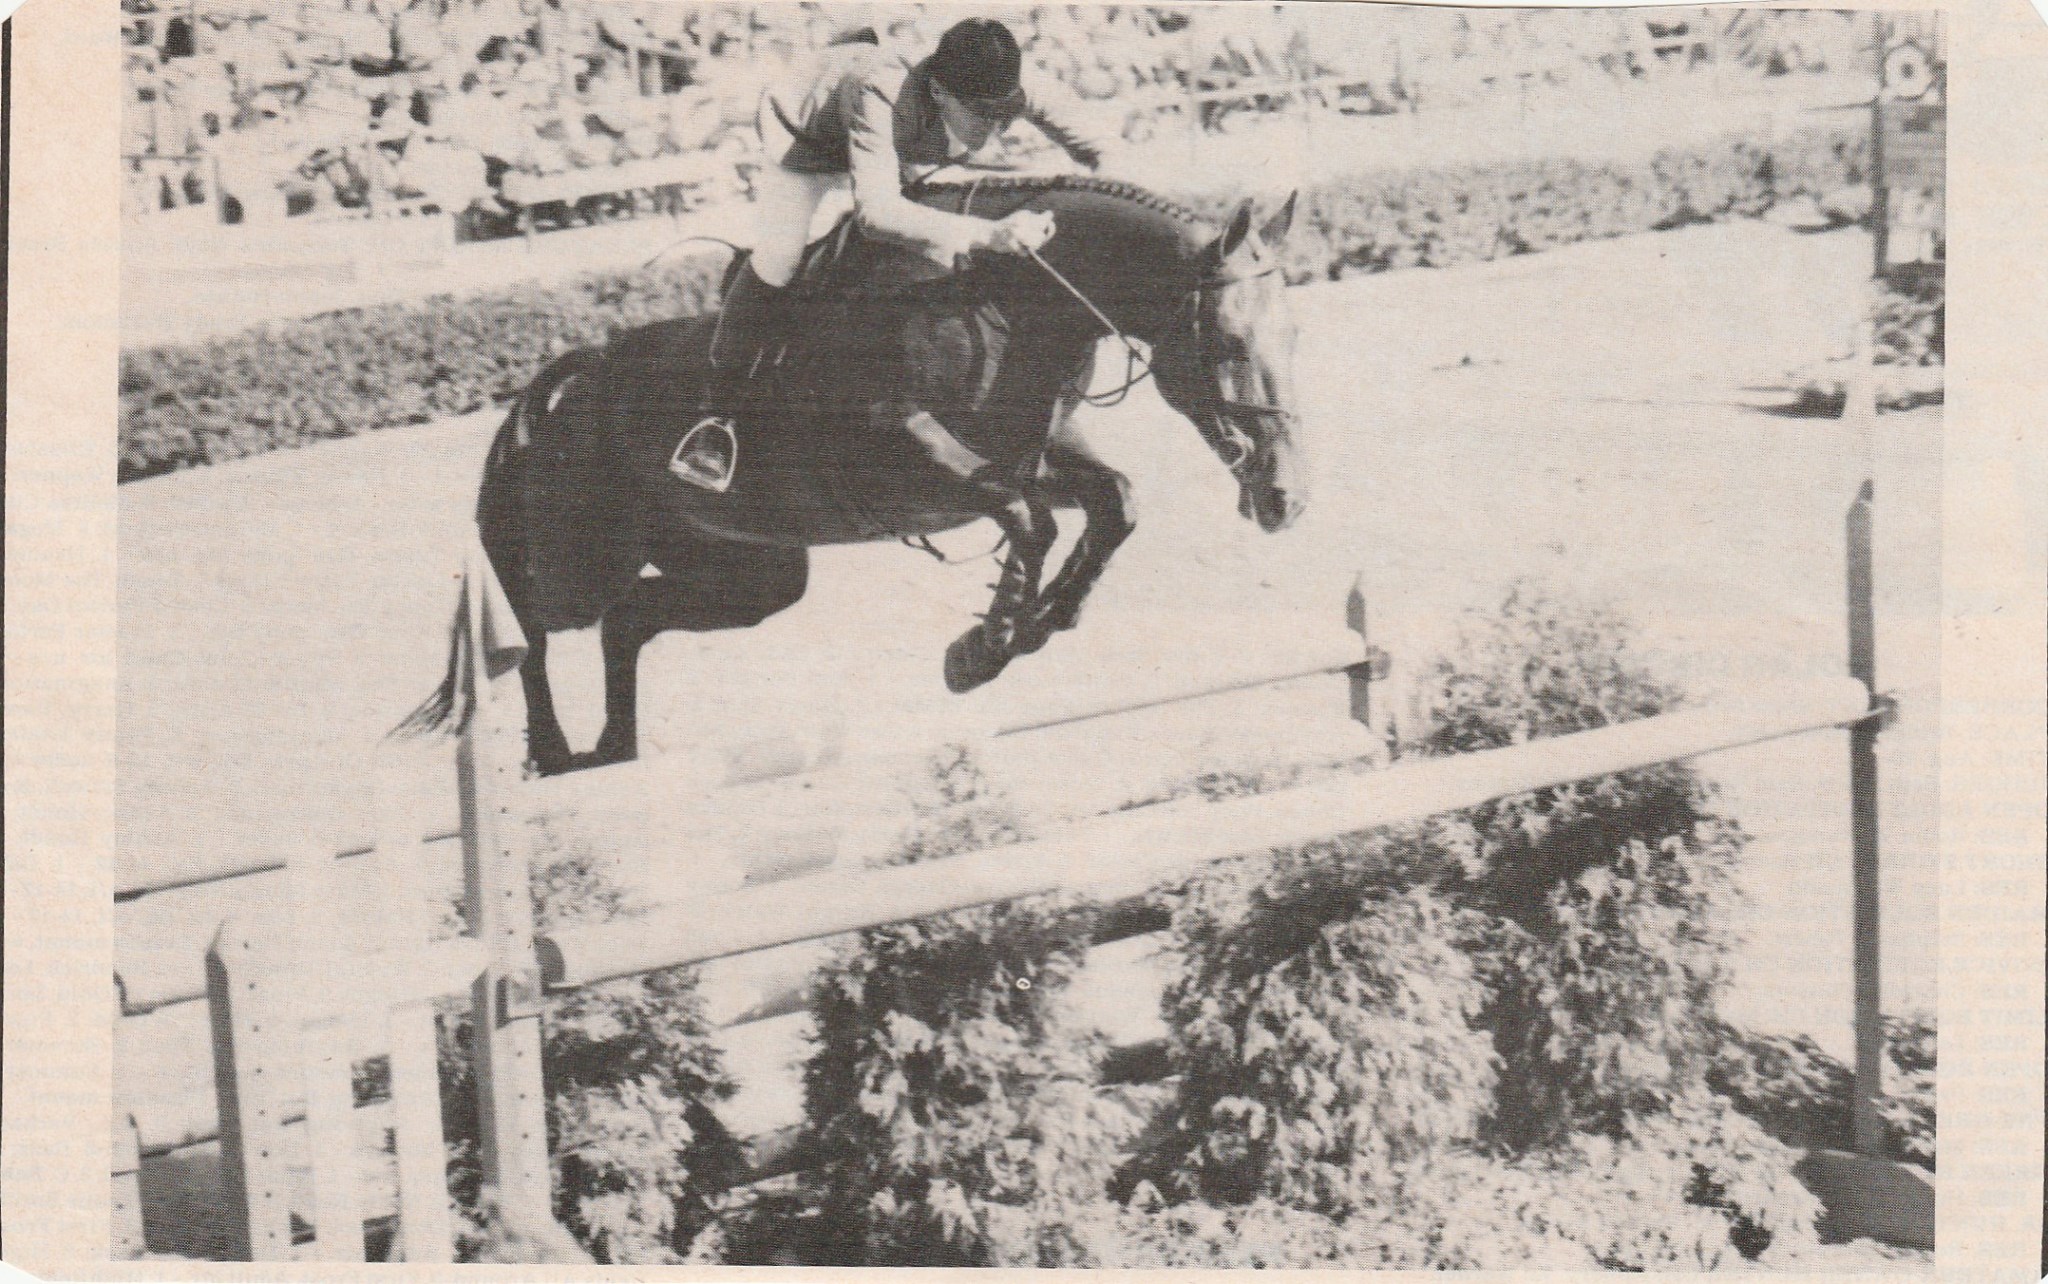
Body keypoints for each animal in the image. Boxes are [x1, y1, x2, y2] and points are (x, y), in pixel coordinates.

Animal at [395, 169, 1310, 774]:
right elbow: (1028, 518)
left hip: (750, 573)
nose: (1285, 500)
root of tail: (563, 383)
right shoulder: (905, 454)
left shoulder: (1033, 451)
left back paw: (612, 750)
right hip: (583, 558)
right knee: (528, 623)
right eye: (1229, 342)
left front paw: (1036, 625)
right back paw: (550, 751)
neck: (1001, 302)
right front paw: (982, 649)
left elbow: (1111, 503)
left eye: (1292, 334)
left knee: (628, 623)